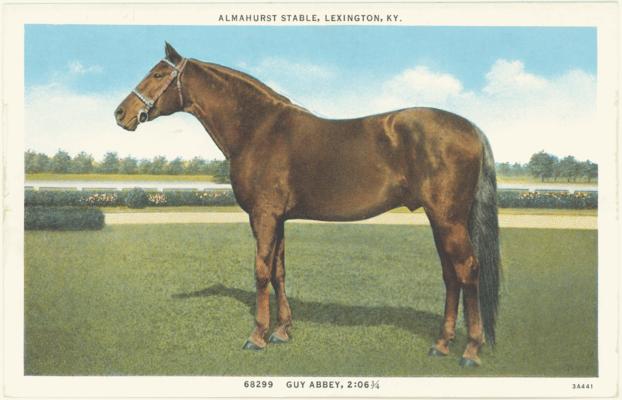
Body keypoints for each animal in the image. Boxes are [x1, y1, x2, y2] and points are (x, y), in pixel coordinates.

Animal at [114, 43, 500, 366]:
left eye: (158, 74)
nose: (121, 113)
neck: (259, 129)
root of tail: (471, 128)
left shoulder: (264, 217)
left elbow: (261, 271)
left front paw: (257, 336)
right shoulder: (278, 219)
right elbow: (279, 271)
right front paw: (282, 331)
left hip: (448, 219)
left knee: (467, 270)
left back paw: (470, 350)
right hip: (442, 219)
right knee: (450, 274)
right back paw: (441, 343)